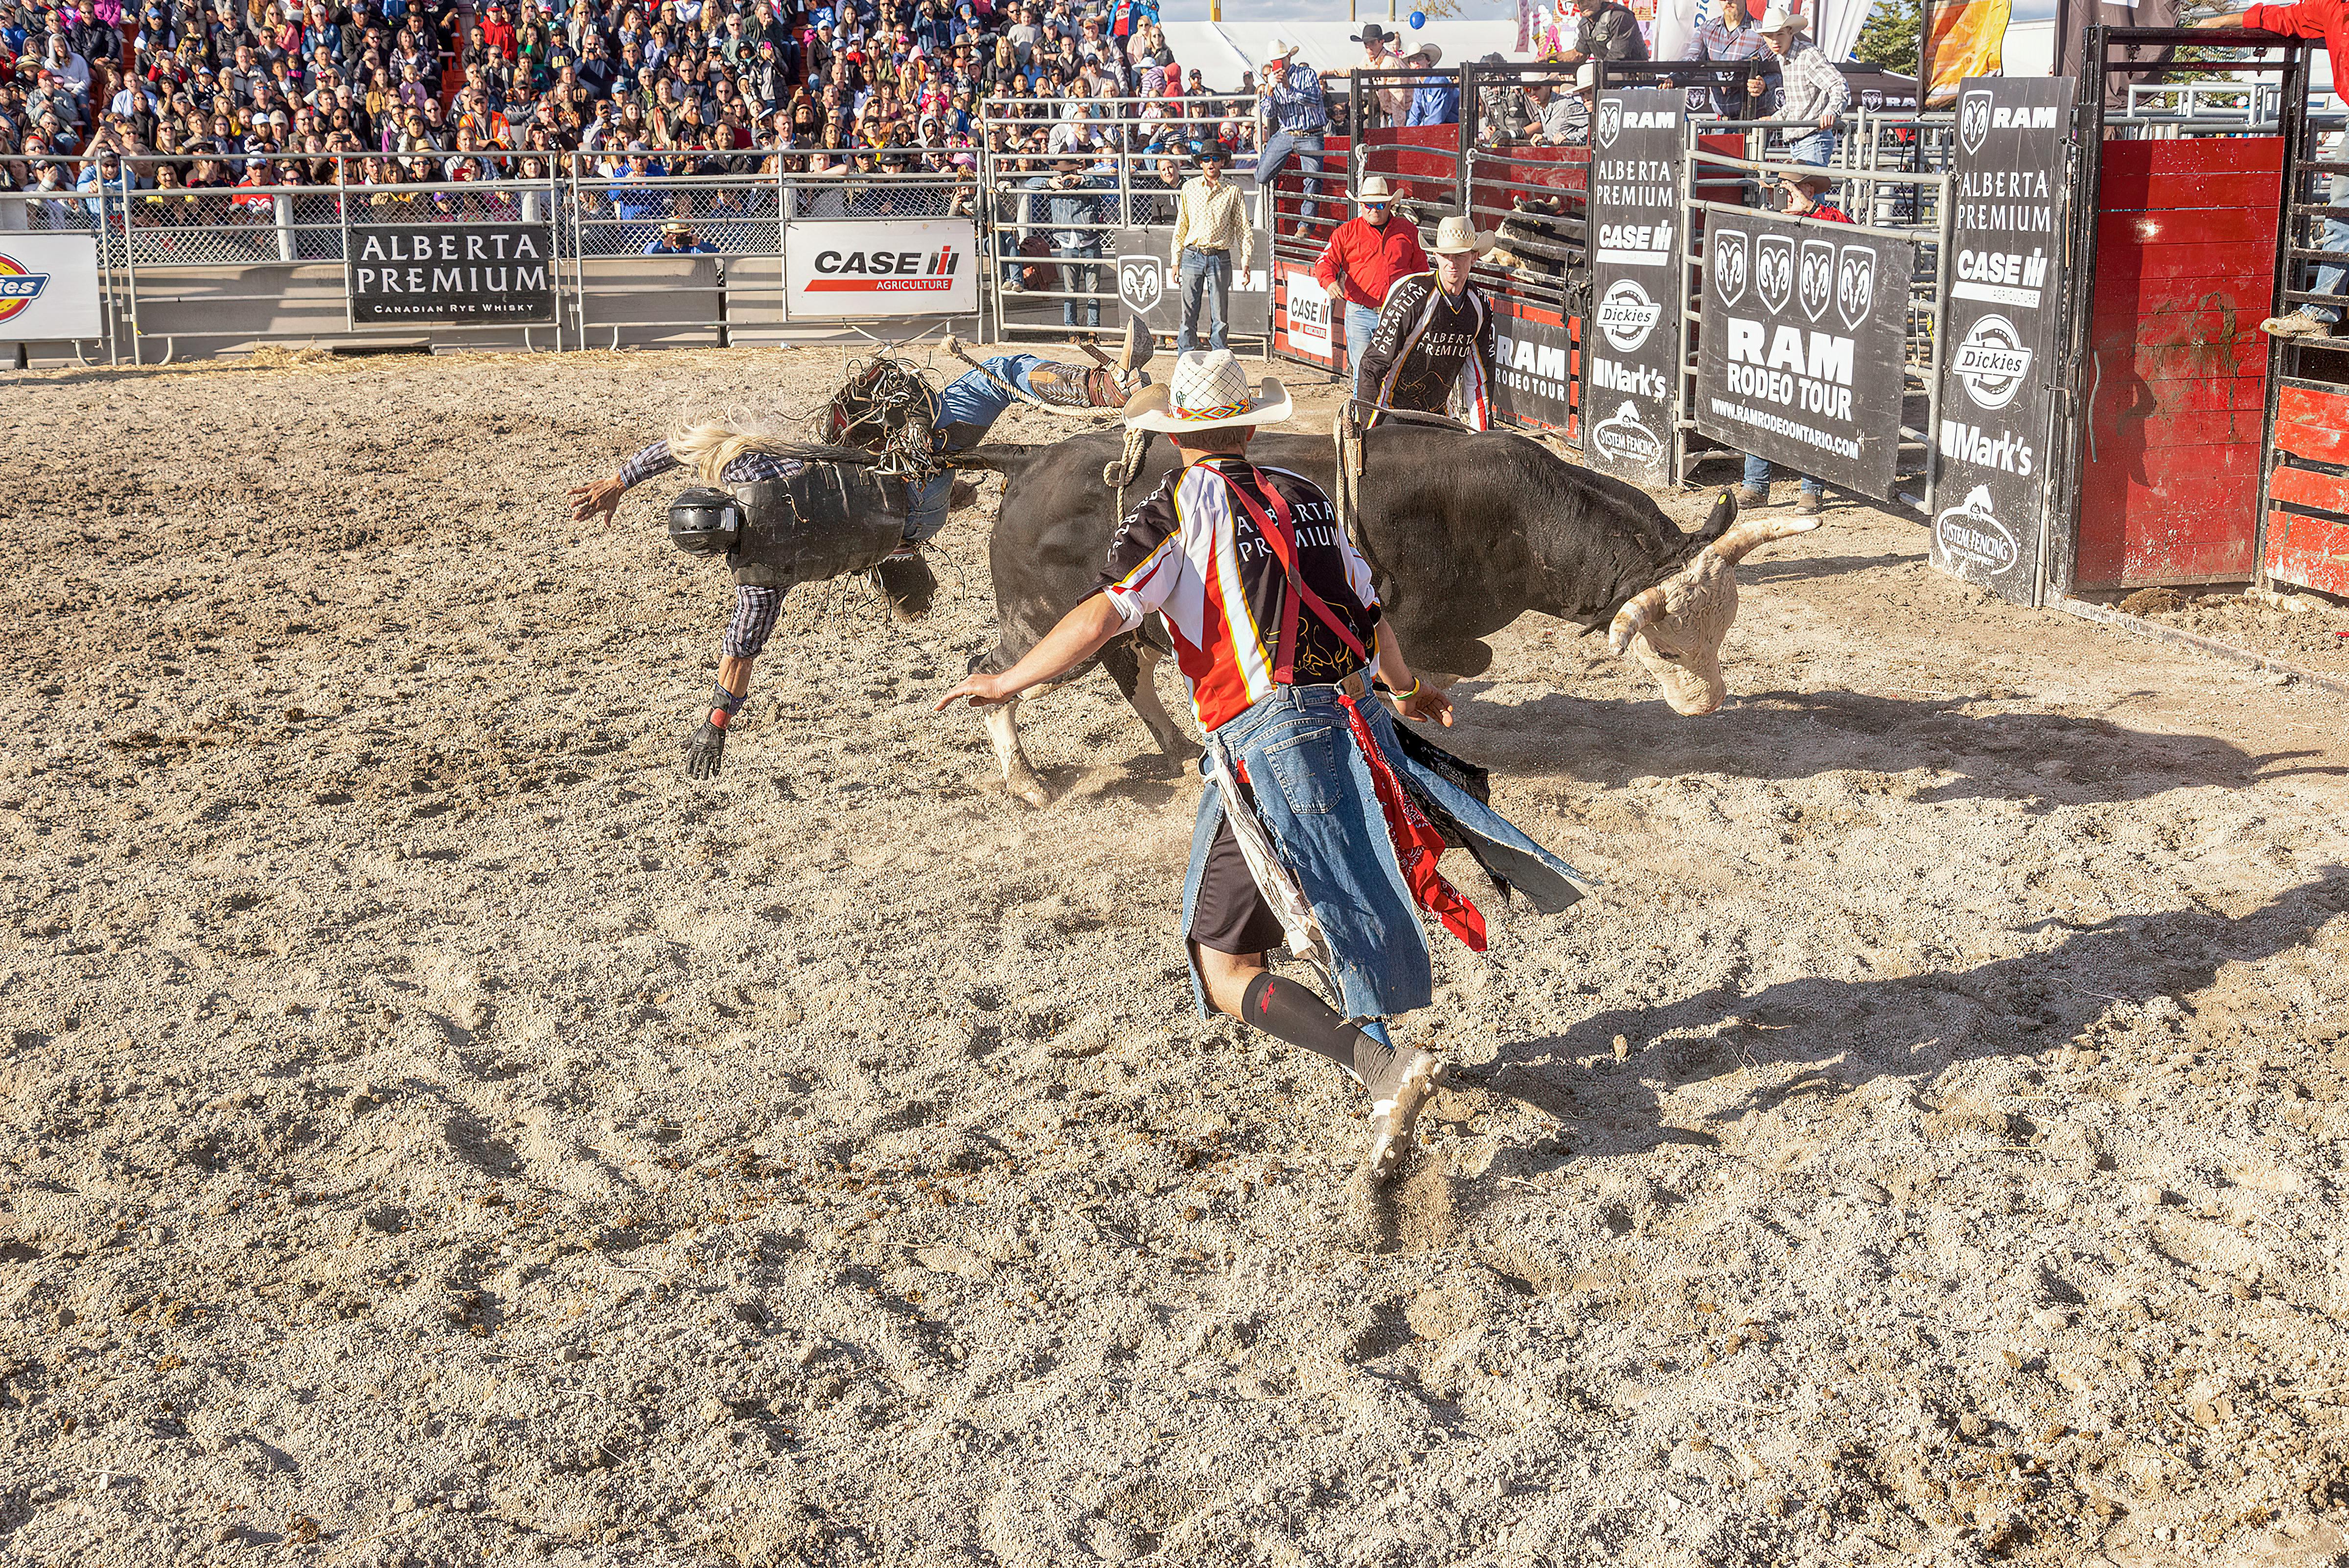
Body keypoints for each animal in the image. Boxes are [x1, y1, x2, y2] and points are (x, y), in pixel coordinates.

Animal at [949, 422, 1813, 803]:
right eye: (1667, 652)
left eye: (1722, 632)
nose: (1710, 704)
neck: (1516, 516)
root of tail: (1030, 459)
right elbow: (1460, 663)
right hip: (1044, 626)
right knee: (993, 676)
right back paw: (1026, 780)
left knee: (1129, 668)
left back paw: (1171, 742)